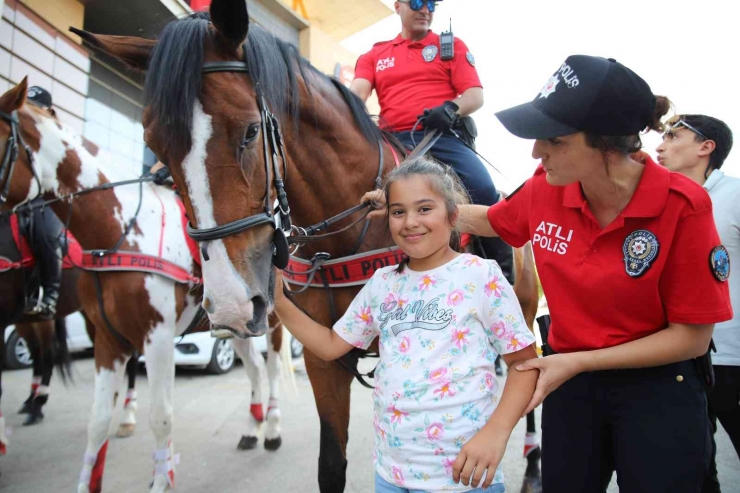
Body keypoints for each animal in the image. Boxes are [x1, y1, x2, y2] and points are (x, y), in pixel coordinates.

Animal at [75, 0, 544, 488]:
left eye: (249, 131)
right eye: (157, 147)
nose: (231, 304)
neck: (344, 235)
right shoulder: (324, 357)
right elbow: (331, 464)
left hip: (526, 312)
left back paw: (532, 460)